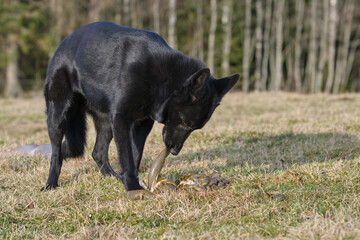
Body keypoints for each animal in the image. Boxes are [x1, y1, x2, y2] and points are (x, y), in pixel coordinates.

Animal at [43, 21, 239, 192]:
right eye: (185, 123)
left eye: (194, 128)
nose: (174, 151)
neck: (162, 80)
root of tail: (64, 42)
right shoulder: (121, 120)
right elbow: (127, 156)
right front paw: (132, 187)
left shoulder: (142, 124)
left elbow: (136, 154)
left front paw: (132, 181)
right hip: (58, 115)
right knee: (56, 153)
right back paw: (50, 183)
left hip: (106, 122)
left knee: (97, 153)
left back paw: (113, 177)